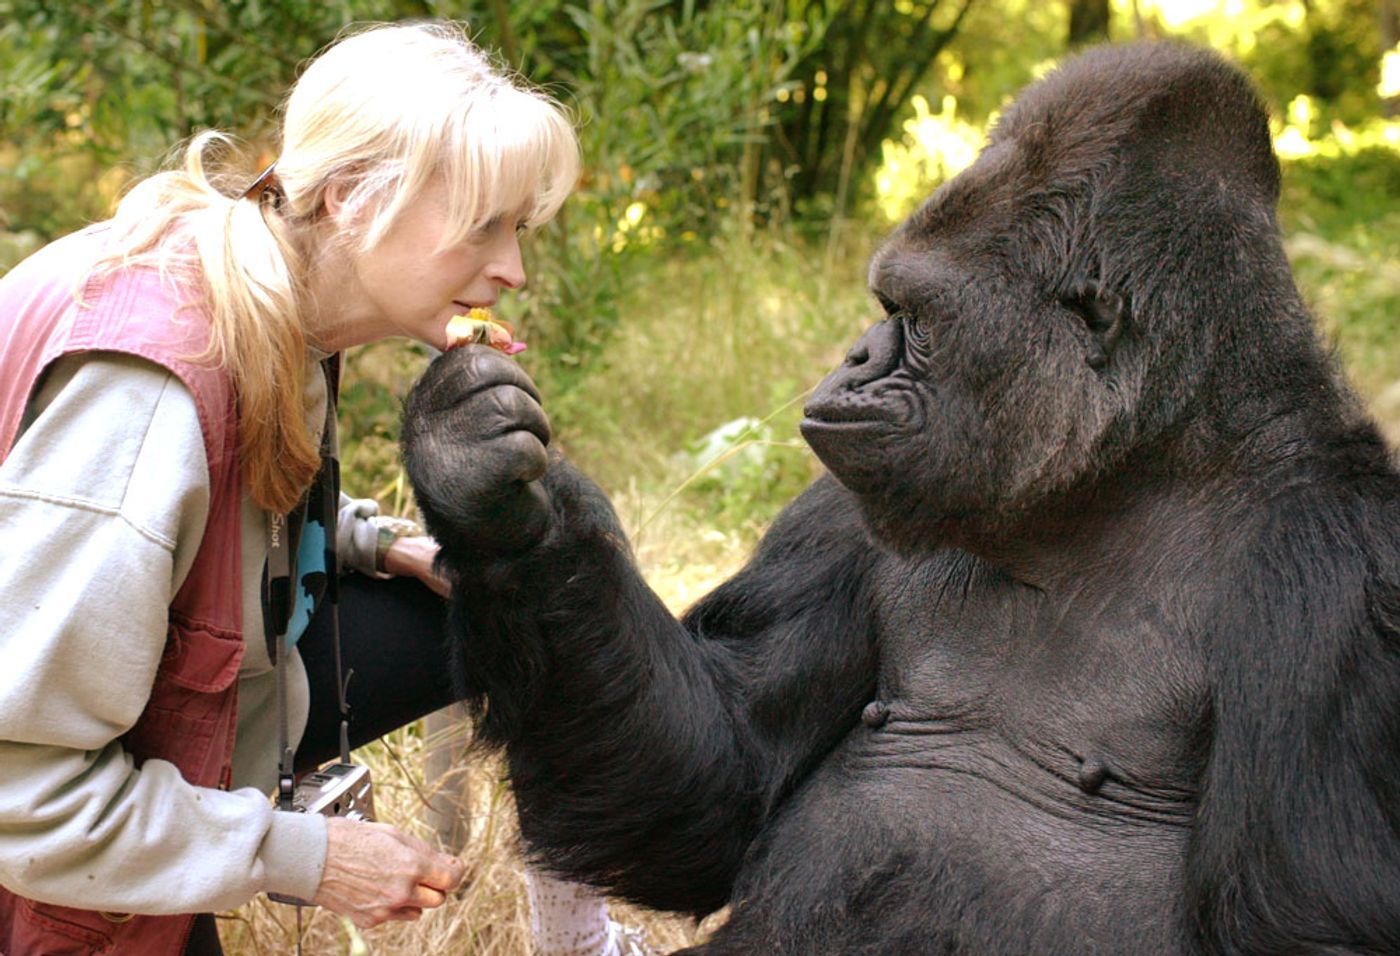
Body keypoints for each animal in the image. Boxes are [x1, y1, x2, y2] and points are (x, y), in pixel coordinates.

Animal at [400, 41, 1400, 951]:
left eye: (912, 319)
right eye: (885, 307)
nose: (853, 357)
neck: (1124, 475)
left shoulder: (1347, 583)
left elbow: (1306, 921)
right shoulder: (845, 510)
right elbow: (718, 777)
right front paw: (493, 501)